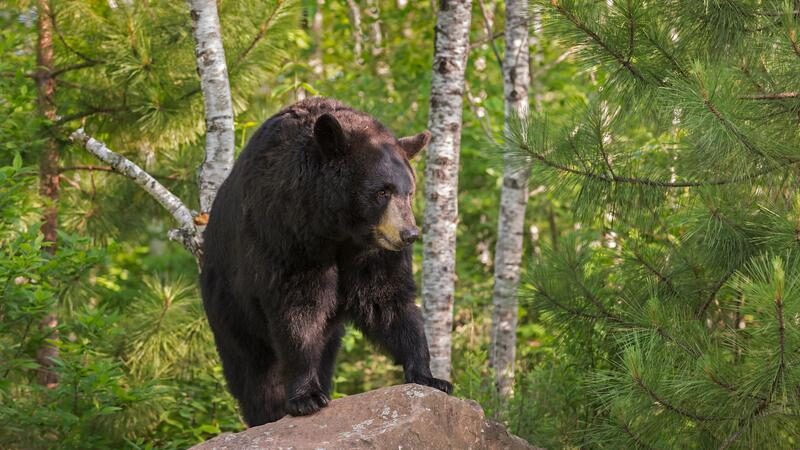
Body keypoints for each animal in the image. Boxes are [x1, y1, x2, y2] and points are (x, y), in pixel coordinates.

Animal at [200, 97, 452, 427]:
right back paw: (268, 413)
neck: (336, 227)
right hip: (230, 305)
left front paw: (429, 375)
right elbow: (299, 308)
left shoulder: (370, 251)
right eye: (382, 191)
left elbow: (388, 299)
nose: (409, 234)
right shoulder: (287, 232)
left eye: (408, 191)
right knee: (253, 368)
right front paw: (306, 397)